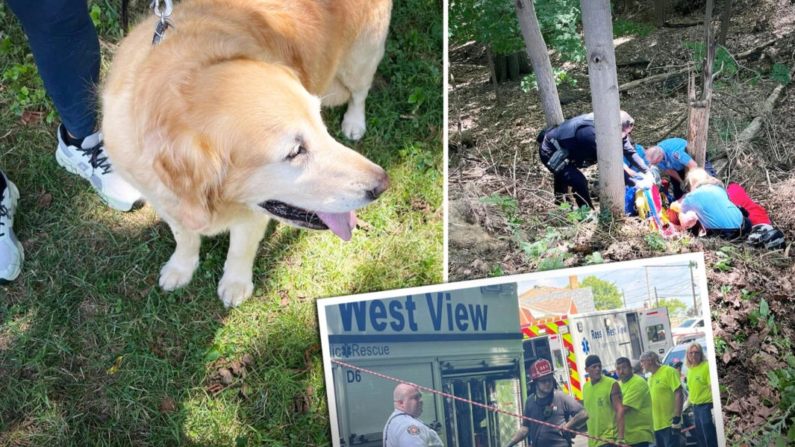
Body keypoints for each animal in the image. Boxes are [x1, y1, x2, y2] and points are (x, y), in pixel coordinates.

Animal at [101, 0, 394, 308]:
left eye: (320, 125)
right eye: (295, 152)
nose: (383, 184)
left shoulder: (254, 213)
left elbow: (240, 250)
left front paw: (235, 284)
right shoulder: (165, 201)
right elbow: (185, 237)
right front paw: (180, 268)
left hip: (361, 60)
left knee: (360, 92)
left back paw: (354, 122)